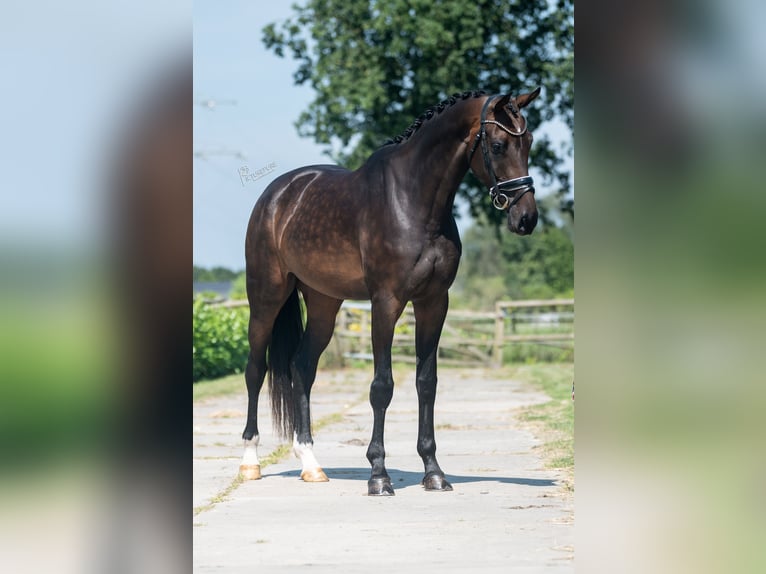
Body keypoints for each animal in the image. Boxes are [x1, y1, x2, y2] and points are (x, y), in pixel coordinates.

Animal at [238, 88, 540, 498]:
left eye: (529, 142)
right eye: (497, 145)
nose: (526, 219)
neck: (414, 202)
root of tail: (276, 195)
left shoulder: (434, 302)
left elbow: (426, 384)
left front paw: (433, 472)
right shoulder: (386, 302)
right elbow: (382, 386)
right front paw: (378, 475)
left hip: (323, 303)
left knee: (302, 368)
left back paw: (311, 464)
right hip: (266, 297)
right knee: (256, 369)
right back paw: (250, 461)